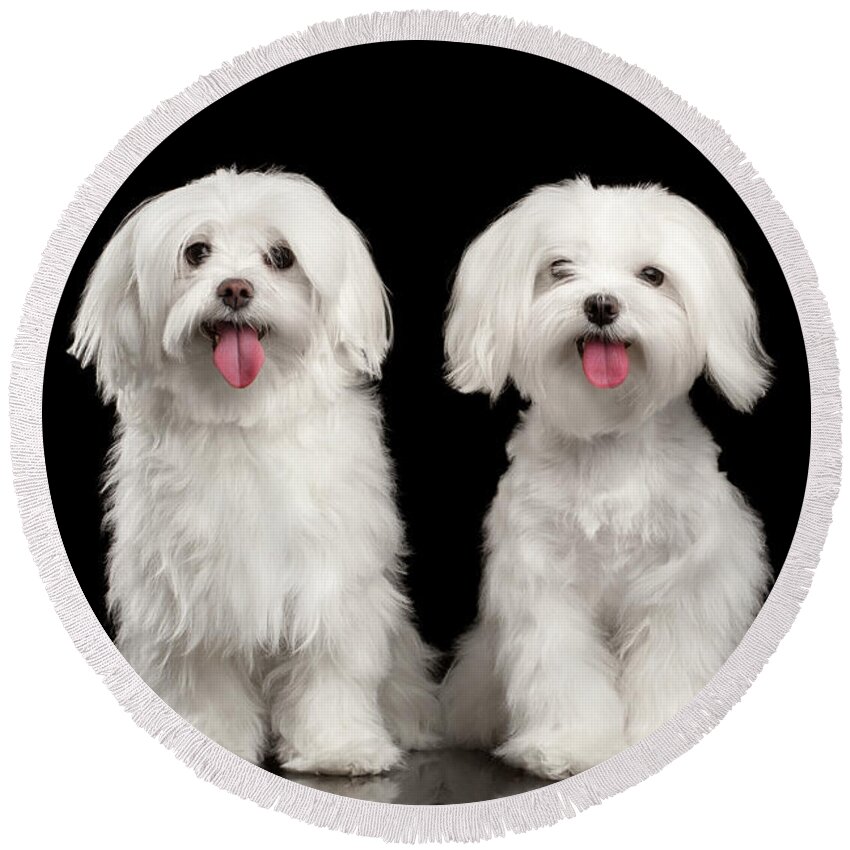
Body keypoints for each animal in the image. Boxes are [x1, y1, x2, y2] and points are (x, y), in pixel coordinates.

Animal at [71, 169, 438, 772]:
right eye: (196, 252)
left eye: (281, 257)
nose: (235, 289)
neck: (242, 413)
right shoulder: (192, 596)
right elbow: (206, 677)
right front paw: (214, 738)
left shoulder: (328, 583)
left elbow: (328, 666)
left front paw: (339, 747)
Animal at [440, 177, 772, 776]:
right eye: (559, 268)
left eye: (652, 275)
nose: (600, 304)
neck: (608, 433)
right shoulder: (544, 574)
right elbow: (562, 665)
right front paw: (569, 745)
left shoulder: (683, 577)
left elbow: (671, 657)